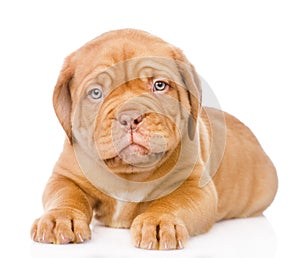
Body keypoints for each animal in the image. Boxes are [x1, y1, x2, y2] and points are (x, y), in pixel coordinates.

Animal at [30, 28, 276, 250]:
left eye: (159, 85)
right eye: (96, 93)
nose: (130, 118)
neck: (127, 173)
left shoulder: (195, 186)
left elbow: (173, 202)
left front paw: (159, 222)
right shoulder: (64, 176)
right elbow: (65, 195)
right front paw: (60, 218)